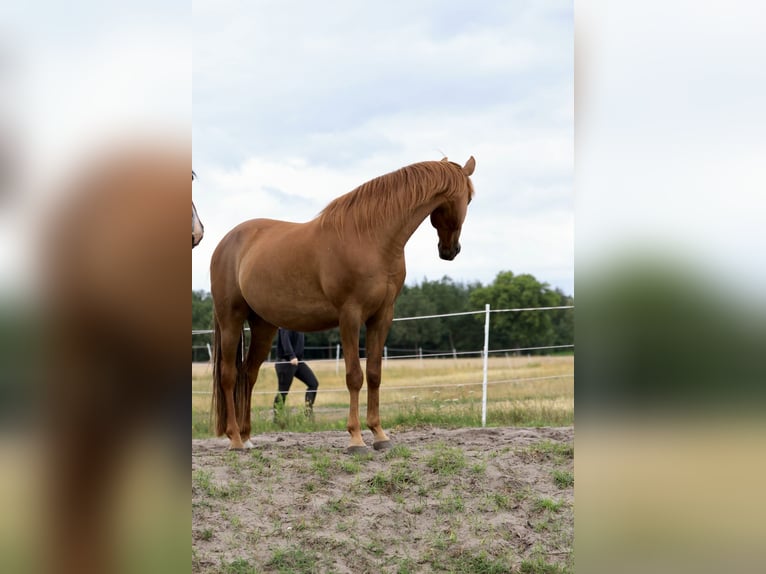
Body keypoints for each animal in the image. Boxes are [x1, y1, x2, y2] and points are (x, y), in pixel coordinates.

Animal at [210, 156, 476, 452]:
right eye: (469, 198)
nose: (450, 251)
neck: (370, 238)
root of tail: (226, 243)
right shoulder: (350, 315)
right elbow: (354, 376)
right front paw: (356, 438)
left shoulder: (382, 316)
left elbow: (374, 373)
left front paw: (380, 435)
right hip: (231, 319)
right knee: (229, 375)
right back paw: (234, 438)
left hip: (263, 325)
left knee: (248, 373)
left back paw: (247, 437)